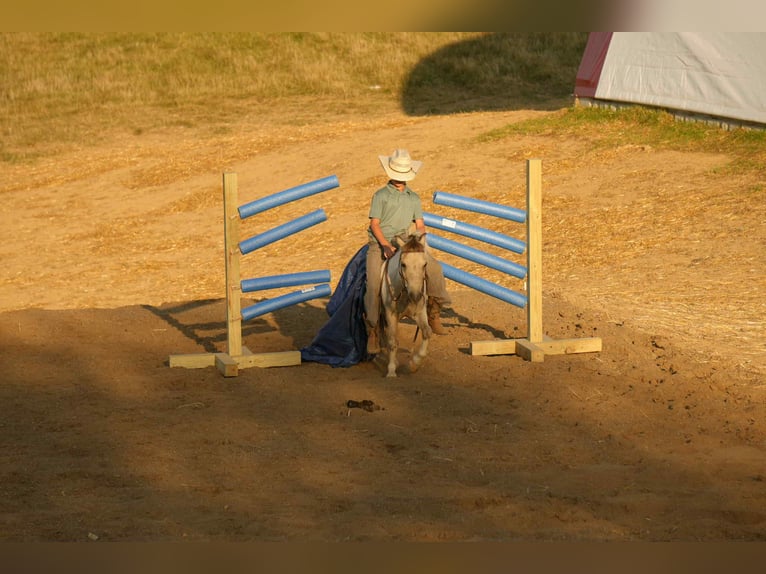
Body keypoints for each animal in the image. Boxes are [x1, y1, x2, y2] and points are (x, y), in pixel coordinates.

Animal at [378, 233, 431, 377]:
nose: (416, 295)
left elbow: (427, 332)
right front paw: (391, 371)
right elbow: (392, 341)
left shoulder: (420, 312)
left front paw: (414, 363)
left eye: (425, 264)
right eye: (403, 264)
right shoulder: (390, 314)